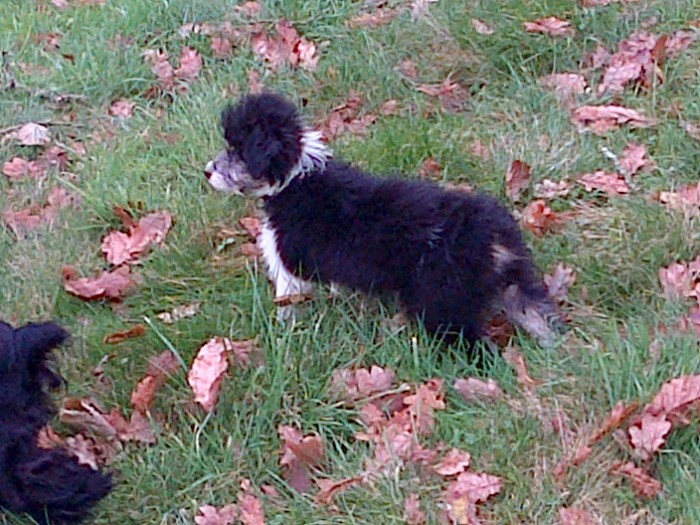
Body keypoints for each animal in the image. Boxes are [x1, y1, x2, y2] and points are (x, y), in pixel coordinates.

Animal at [204, 92, 560, 348]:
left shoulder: (289, 268)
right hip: (515, 283)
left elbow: (287, 301)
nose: (207, 171)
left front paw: (282, 333)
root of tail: (492, 237)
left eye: (236, 151)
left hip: (442, 300)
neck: (294, 177)